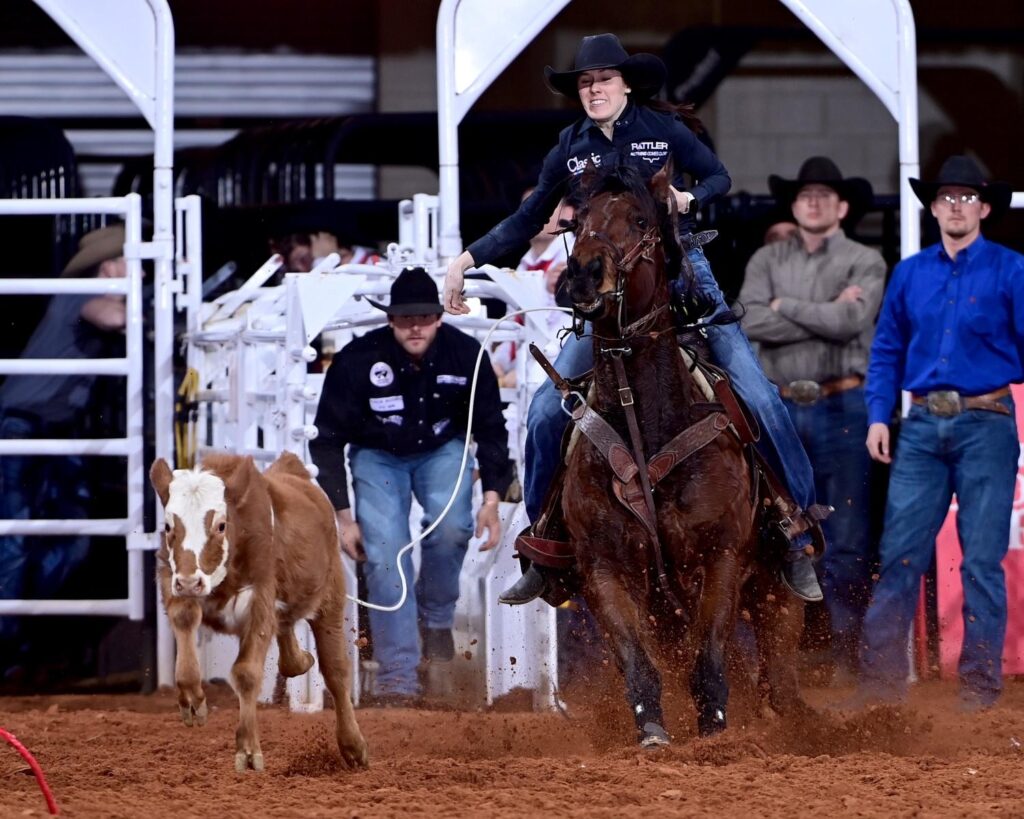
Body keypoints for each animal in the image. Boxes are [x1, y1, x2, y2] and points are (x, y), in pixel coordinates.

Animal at [561, 159, 806, 749]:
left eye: (640, 219)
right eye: (578, 218)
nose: (584, 274)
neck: (646, 425)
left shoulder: (721, 556)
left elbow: (711, 656)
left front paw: (715, 733)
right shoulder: (603, 566)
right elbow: (636, 661)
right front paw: (652, 729)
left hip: (777, 586)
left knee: (778, 669)